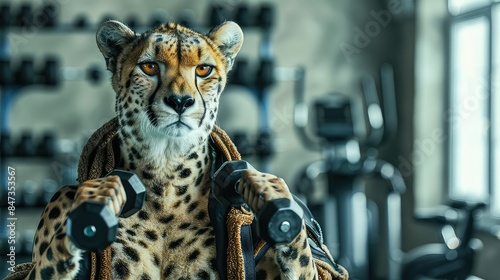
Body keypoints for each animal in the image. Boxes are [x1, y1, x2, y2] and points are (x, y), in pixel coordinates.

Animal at [4, 20, 348, 280]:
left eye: (204, 70)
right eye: (149, 66)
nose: (180, 101)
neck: (166, 177)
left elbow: (320, 267)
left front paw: (267, 191)